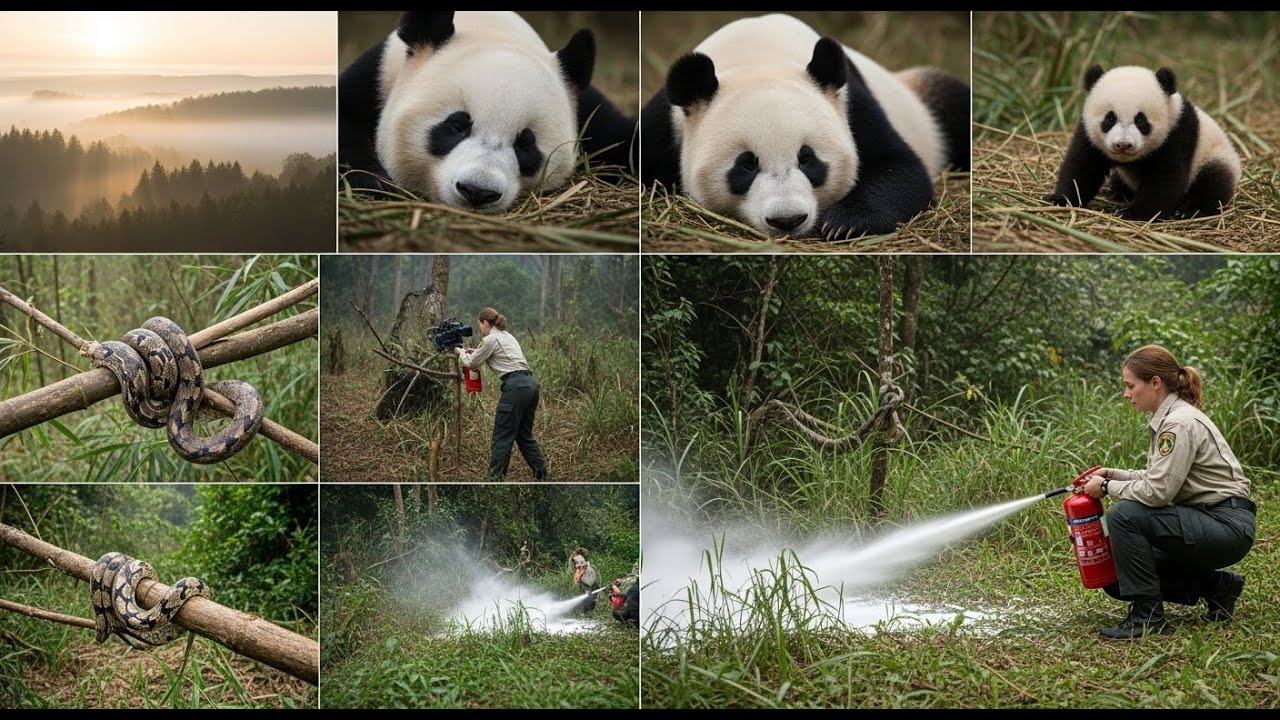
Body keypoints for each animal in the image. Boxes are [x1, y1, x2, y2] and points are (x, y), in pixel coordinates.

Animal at [339, 11, 636, 213]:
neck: (490, 27)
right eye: (457, 126)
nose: (478, 192)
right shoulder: (376, 76)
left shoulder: (586, 108)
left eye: (525, 143)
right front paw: (375, 182)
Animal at [640, 13, 970, 240]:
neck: (758, 57)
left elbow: (901, 167)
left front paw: (845, 223)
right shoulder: (666, 125)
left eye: (808, 158)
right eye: (746, 165)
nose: (787, 220)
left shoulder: (852, 104)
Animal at [1044, 65, 1241, 220]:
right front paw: (1059, 199)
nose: (1123, 145)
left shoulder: (1176, 134)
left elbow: (1165, 177)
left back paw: (1188, 211)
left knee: (1213, 183)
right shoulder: (1088, 133)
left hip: (1215, 157)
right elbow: (1083, 167)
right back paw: (1119, 192)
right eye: (1110, 118)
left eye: (1140, 120)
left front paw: (1135, 214)